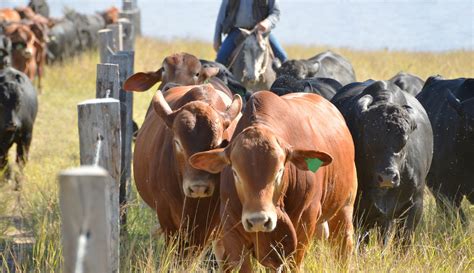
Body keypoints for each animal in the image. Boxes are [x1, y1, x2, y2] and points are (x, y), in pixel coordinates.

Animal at [191, 91, 358, 270]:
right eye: (235, 172)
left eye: (279, 171)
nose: (258, 220)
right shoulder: (232, 233)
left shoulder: (303, 228)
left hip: (344, 210)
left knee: (343, 249)